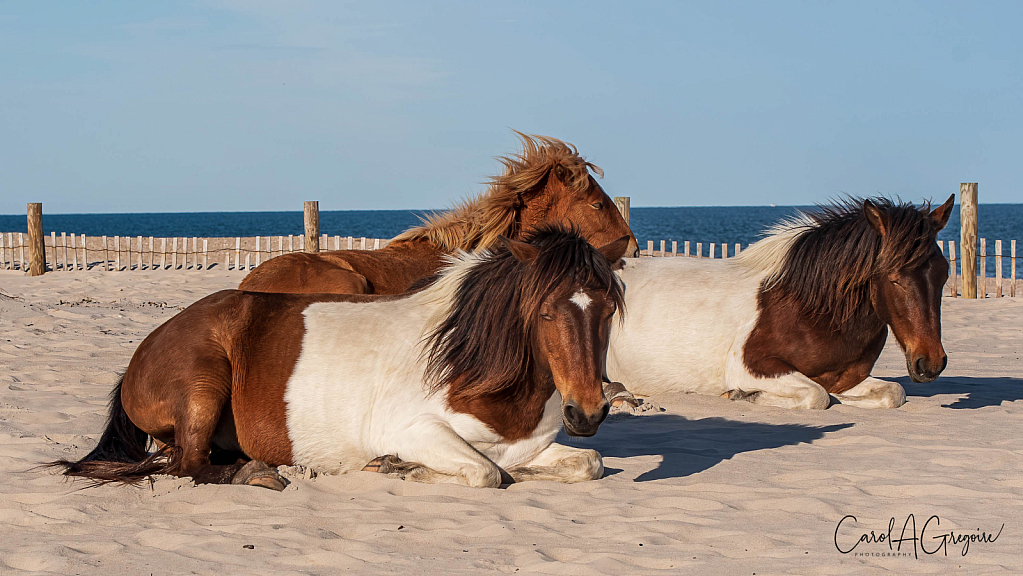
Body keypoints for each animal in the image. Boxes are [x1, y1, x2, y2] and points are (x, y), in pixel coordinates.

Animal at [58, 228, 630, 489]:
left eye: (608, 310)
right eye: (547, 312)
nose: (587, 413)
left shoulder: (527, 447)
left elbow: (586, 464)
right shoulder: (419, 431)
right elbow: (487, 473)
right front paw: (397, 467)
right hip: (204, 381)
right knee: (189, 465)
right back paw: (253, 473)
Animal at [605, 197, 949, 409]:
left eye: (944, 272)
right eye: (894, 277)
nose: (930, 363)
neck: (810, 308)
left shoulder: (845, 378)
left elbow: (893, 392)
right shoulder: (754, 367)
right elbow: (817, 396)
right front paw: (741, 396)